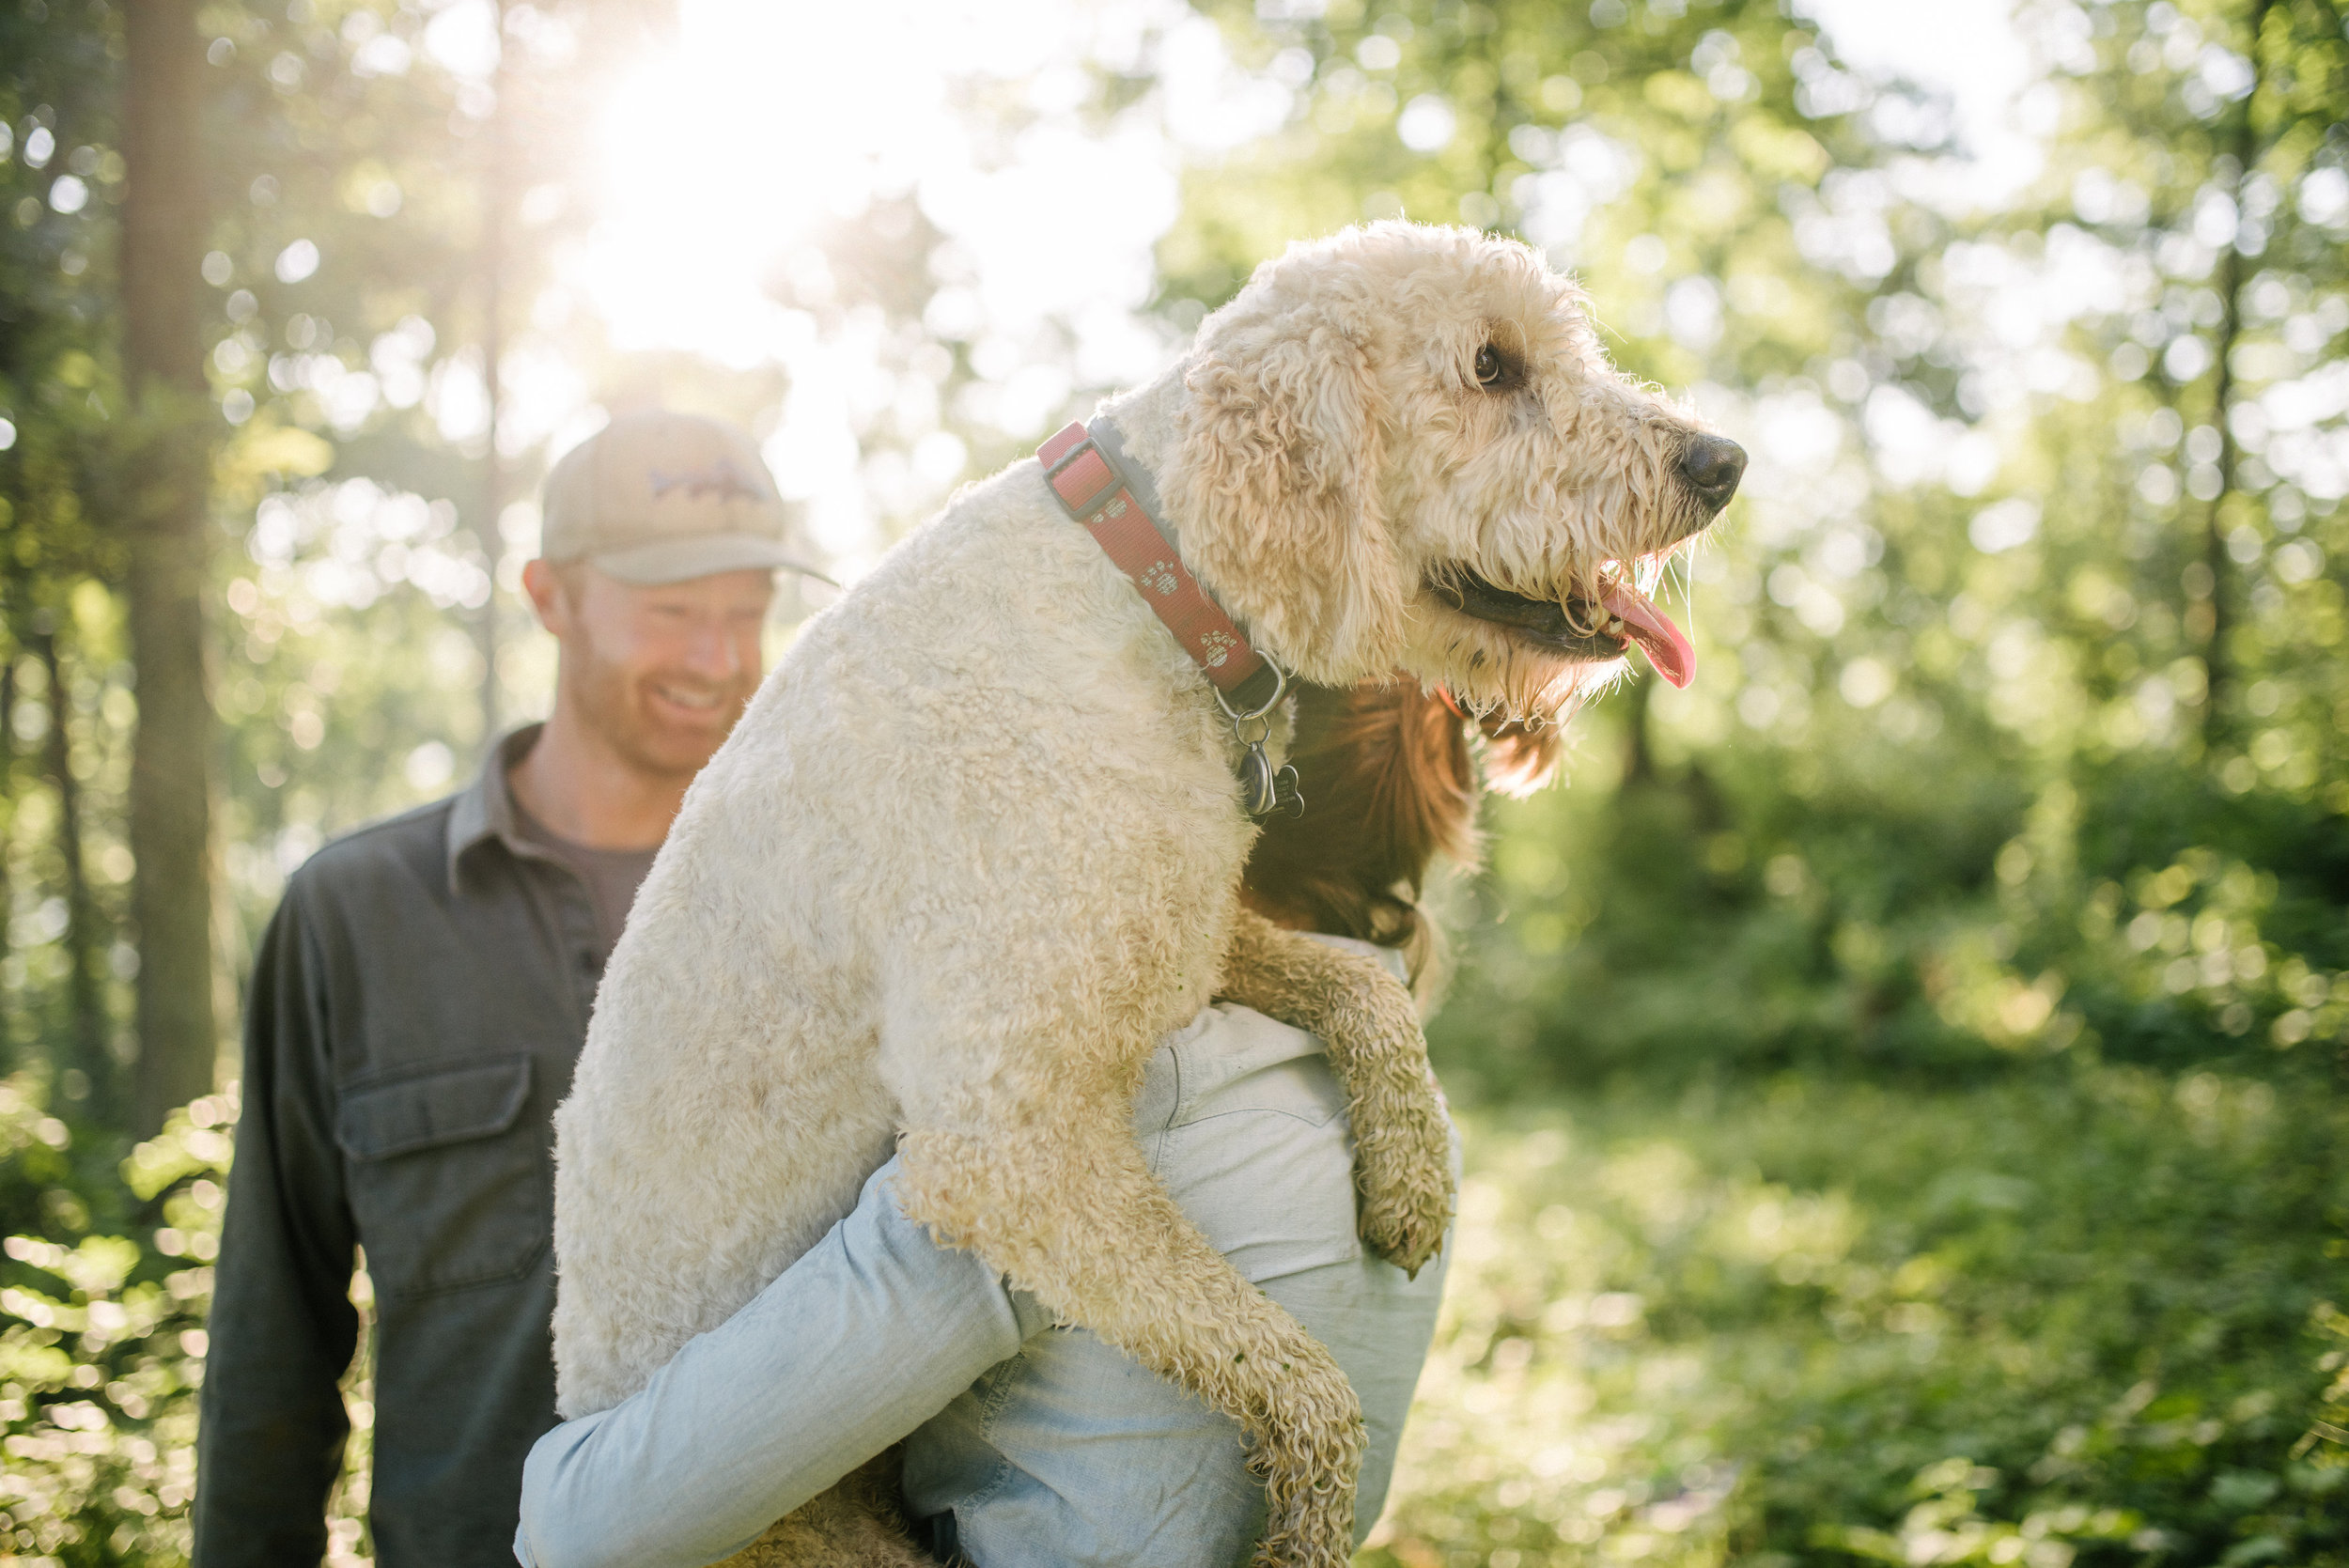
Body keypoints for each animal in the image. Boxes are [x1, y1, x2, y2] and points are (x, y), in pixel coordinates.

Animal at [550, 223, 1748, 1568]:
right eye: (1491, 366)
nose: (1723, 462)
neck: (1140, 586)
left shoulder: (1176, 927)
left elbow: (1359, 982)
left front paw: (1410, 1165)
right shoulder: (1011, 1146)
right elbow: (1296, 1370)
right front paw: (1305, 1527)